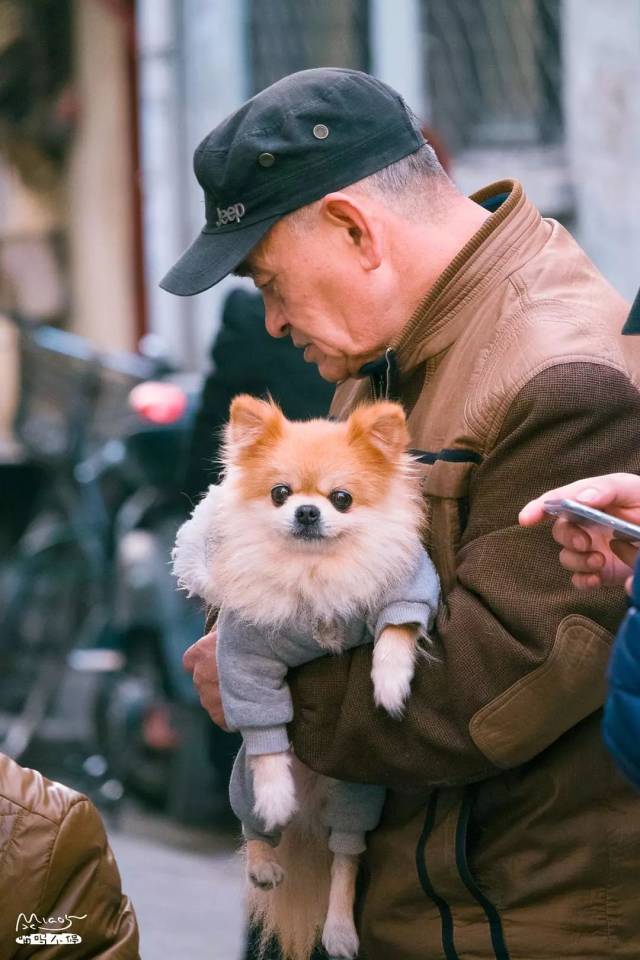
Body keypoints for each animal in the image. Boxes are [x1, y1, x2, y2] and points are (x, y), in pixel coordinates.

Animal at [172, 396, 438, 960]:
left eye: (342, 498)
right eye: (280, 493)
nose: (308, 511)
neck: (314, 570)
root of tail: (313, 808)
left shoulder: (405, 589)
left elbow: (397, 630)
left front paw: (390, 684)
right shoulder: (247, 658)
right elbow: (267, 738)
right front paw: (276, 793)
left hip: (357, 797)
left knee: (345, 860)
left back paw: (339, 930)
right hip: (241, 784)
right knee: (256, 827)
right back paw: (265, 862)